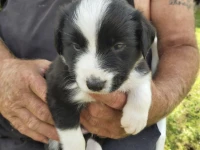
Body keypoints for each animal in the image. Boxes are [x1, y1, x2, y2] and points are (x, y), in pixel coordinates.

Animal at [45, 0, 158, 150]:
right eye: (76, 46)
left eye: (118, 46)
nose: (94, 84)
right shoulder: (56, 92)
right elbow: (71, 132)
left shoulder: (140, 66)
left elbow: (142, 84)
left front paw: (135, 119)